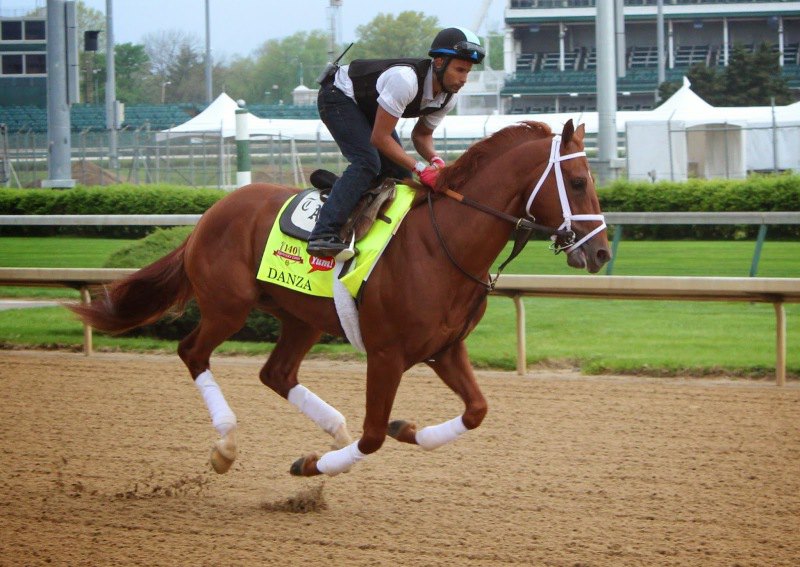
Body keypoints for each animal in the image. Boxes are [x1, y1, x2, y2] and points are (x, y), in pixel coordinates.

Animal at [69, 121, 608, 480]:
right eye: (579, 181)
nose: (601, 252)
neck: (442, 244)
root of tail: (211, 213)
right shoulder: (387, 355)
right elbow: (373, 437)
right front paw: (313, 464)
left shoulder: (444, 348)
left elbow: (475, 411)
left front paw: (404, 428)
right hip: (228, 307)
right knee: (192, 352)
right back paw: (226, 445)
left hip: (301, 318)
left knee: (277, 374)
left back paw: (333, 428)